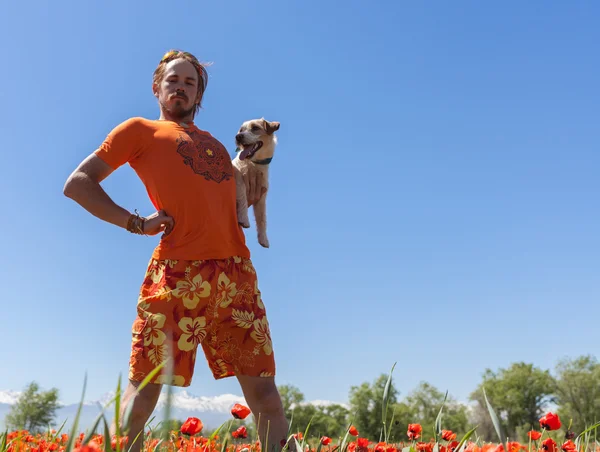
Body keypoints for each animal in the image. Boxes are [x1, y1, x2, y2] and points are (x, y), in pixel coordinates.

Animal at [233, 117, 282, 247]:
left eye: (255, 128)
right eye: (241, 130)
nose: (238, 136)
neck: (254, 164)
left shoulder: (261, 196)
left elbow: (262, 219)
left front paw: (263, 239)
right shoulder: (238, 179)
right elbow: (242, 196)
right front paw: (244, 219)